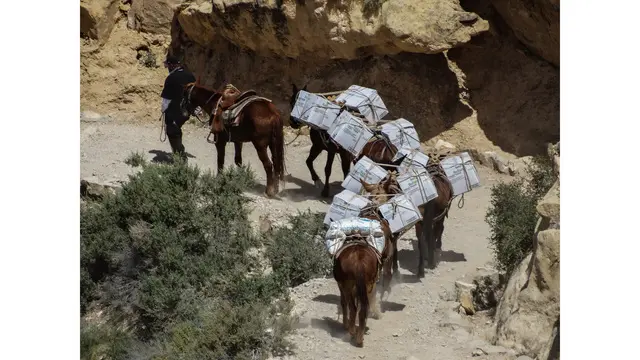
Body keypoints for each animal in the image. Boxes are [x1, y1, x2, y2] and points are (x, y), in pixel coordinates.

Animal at [332, 175, 398, 348]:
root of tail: (357, 259)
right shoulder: (384, 265)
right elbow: (380, 289)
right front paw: (377, 311)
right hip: (359, 283)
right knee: (359, 308)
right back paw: (357, 334)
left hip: (348, 284)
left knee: (351, 305)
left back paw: (351, 329)